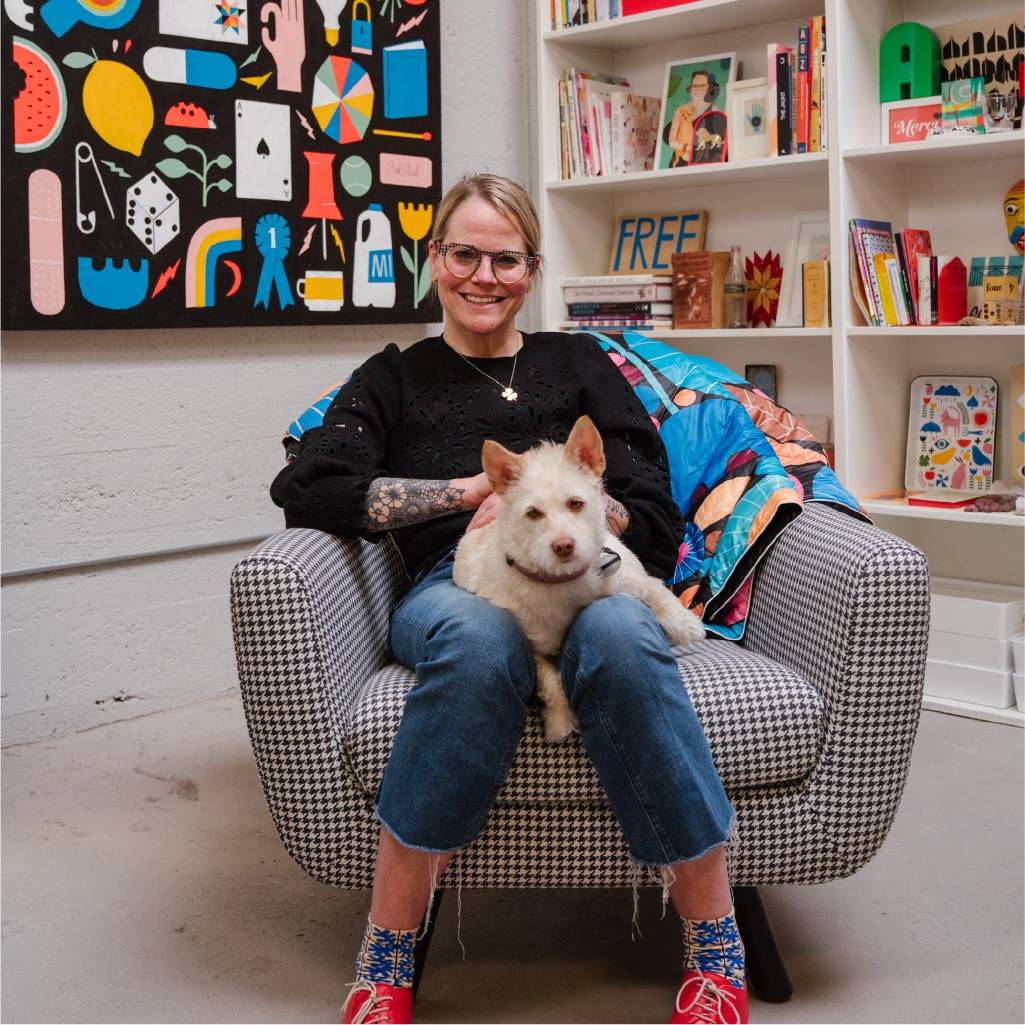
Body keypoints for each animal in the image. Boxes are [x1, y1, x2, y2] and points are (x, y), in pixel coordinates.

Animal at [457, 414, 705, 746]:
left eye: (575, 503)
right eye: (533, 513)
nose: (564, 546)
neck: (563, 582)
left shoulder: (621, 575)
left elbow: (655, 589)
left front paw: (685, 623)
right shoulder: (534, 647)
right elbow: (550, 680)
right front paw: (560, 720)